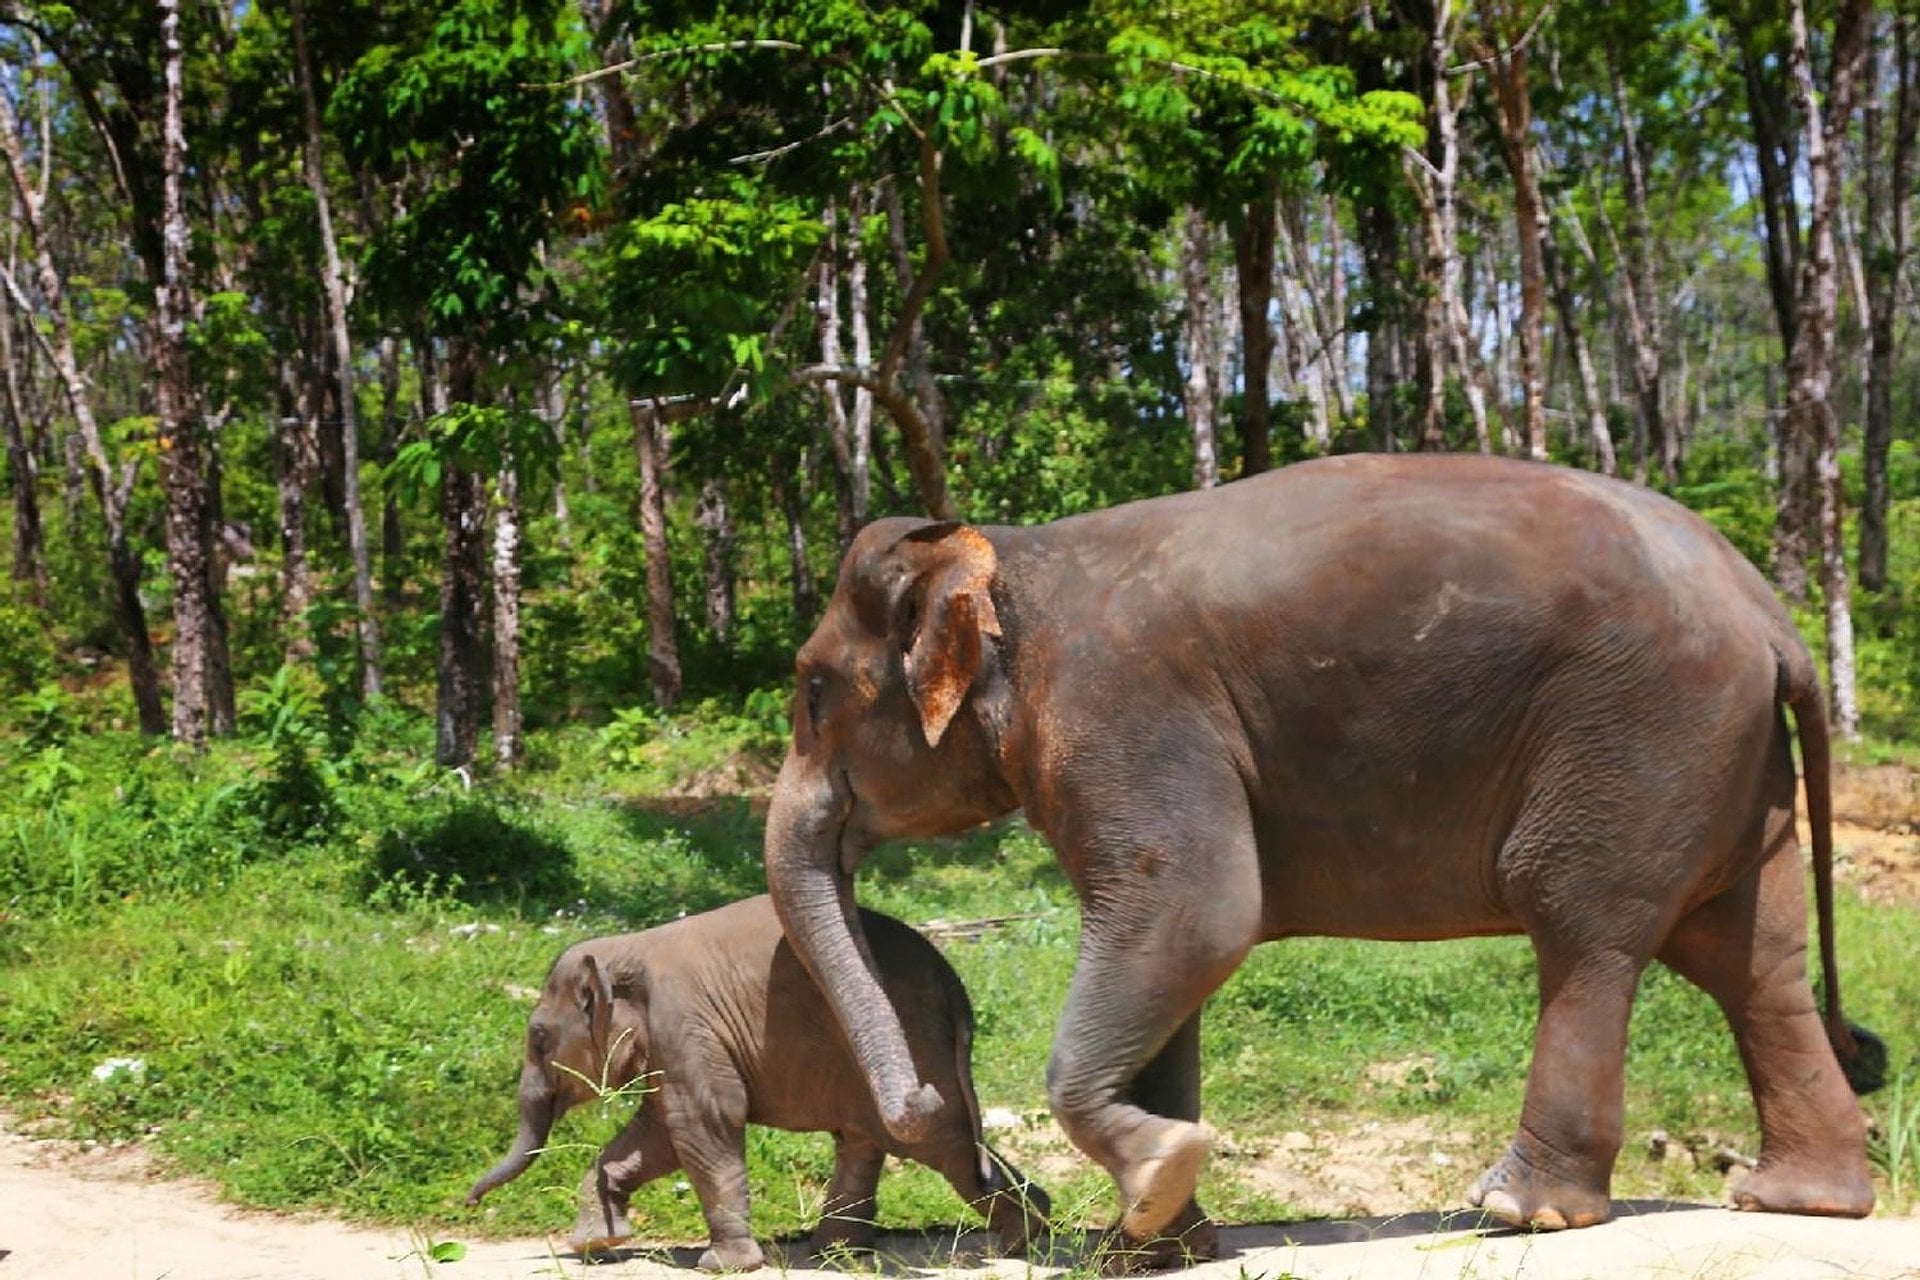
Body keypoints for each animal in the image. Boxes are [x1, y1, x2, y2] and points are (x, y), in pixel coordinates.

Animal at [466, 894, 1050, 1272]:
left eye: (539, 1038)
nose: (470, 1202)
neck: (624, 951)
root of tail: (955, 988)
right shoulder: (674, 1043)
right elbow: (658, 1134)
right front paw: (595, 1247)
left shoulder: (684, 1024)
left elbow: (703, 1123)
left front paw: (721, 1266)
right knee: (868, 1138)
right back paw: (839, 1255)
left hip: (915, 1045)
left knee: (941, 1140)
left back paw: (1011, 1244)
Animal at [762, 452, 1886, 1265]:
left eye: (812, 691)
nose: (924, 1105)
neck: (1011, 559)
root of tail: (1771, 616)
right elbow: (1174, 952)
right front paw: (1154, 1242)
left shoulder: (1125, 715)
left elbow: (1198, 913)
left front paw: (1159, 1177)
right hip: (1727, 765)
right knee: (1751, 957)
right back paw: (1800, 1198)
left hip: (1642, 741)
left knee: (1585, 930)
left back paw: (1518, 1209)